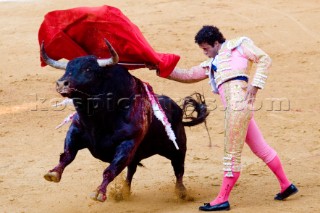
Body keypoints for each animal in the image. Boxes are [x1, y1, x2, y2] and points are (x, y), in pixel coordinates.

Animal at [40, 39, 209, 201]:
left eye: (88, 69)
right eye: (67, 68)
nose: (61, 83)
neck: (98, 119)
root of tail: (177, 109)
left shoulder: (127, 144)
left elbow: (111, 170)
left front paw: (99, 193)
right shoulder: (75, 131)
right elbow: (67, 155)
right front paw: (53, 173)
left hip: (178, 148)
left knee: (178, 169)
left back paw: (181, 193)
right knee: (131, 170)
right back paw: (124, 192)